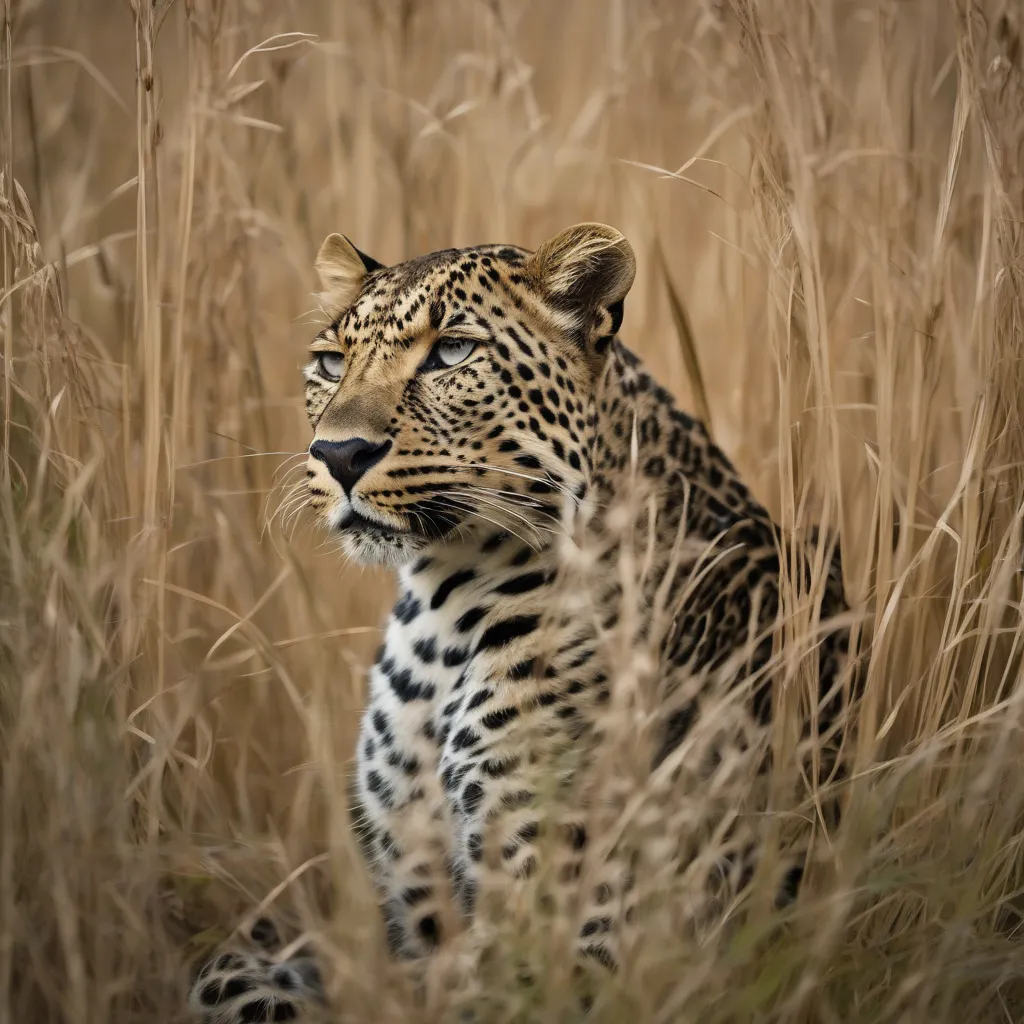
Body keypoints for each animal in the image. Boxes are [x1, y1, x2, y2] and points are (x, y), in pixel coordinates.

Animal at [187, 223, 853, 1024]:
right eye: (330, 362)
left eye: (451, 352)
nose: (338, 453)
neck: (439, 617)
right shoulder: (400, 906)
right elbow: (227, 969)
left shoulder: (570, 933)